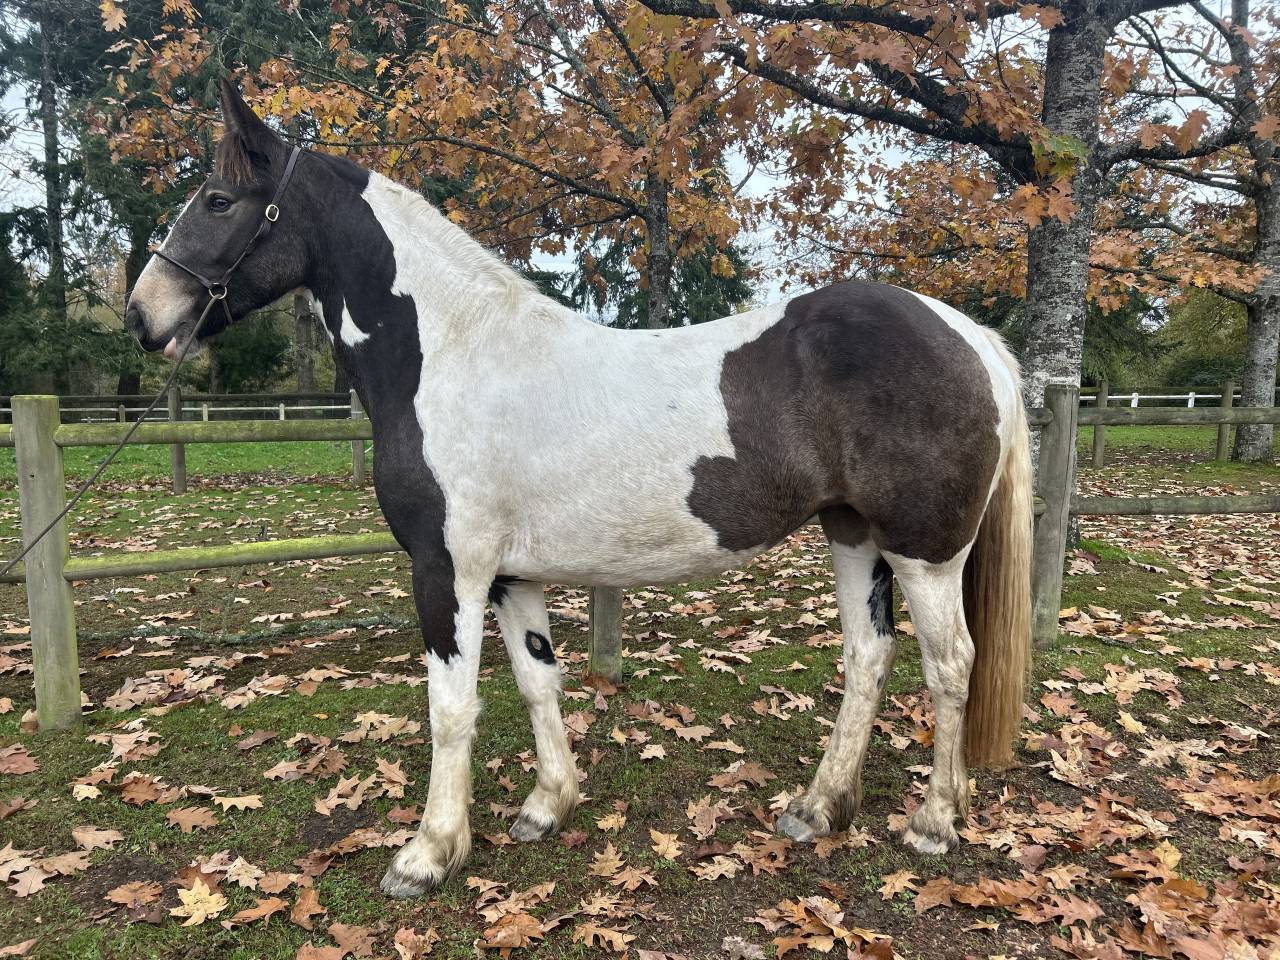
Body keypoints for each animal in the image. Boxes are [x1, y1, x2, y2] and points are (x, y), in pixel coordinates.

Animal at [126, 81, 1032, 898]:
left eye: (217, 200)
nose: (141, 315)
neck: (451, 354)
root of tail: (970, 335)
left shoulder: (446, 572)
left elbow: (450, 708)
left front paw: (428, 854)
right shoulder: (508, 577)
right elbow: (537, 682)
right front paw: (546, 806)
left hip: (925, 553)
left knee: (950, 664)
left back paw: (933, 822)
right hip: (852, 535)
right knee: (868, 656)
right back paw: (817, 808)